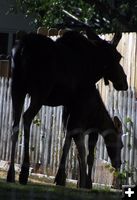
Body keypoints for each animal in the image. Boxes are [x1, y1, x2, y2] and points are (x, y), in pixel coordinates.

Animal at [6, 28, 127, 186]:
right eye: (118, 57)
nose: (124, 82)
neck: (93, 66)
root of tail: (21, 49)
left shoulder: (68, 104)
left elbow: (67, 138)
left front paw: (60, 177)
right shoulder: (77, 103)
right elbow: (71, 140)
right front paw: (64, 178)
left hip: (17, 87)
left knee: (15, 123)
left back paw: (11, 173)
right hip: (40, 91)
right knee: (26, 117)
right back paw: (24, 171)